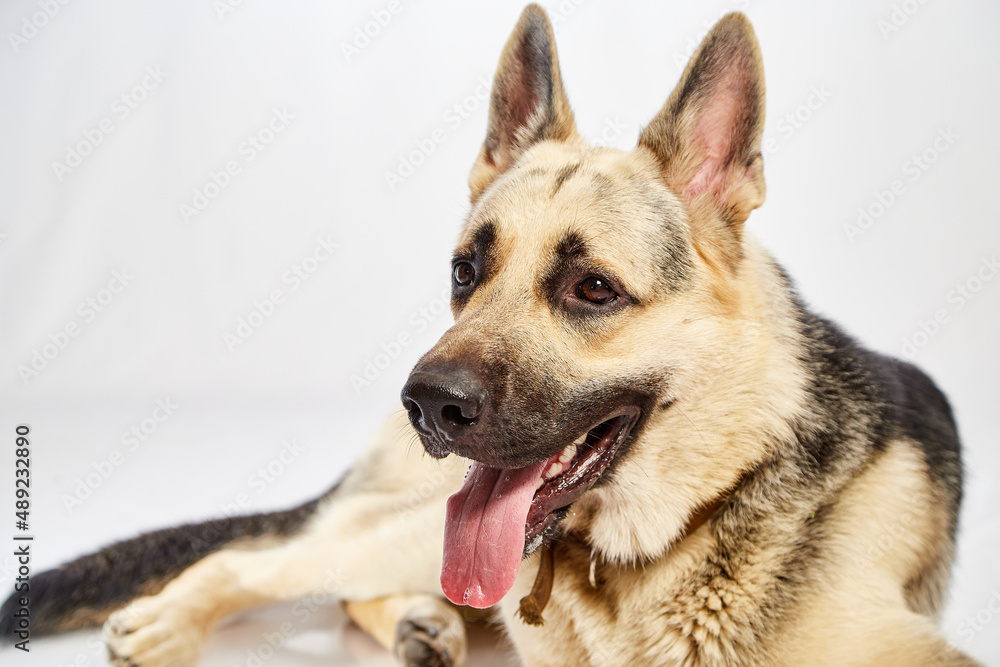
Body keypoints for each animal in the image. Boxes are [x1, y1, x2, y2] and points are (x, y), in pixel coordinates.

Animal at [0, 5, 976, 667]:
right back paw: (183, 616)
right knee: (262, 558)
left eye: (593, 289)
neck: (692, 512)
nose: (428, 404)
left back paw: (419, 621)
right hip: (407, 527)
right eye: (466, 271)